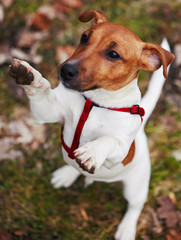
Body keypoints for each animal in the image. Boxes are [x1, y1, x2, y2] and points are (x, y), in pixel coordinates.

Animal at [9, 9, 175, 240]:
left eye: (113, 54)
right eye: (84, 37)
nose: (65, 70)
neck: (95, 102)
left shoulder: (121, 149)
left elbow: (107, 140)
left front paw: (92, 152)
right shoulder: (47, 111)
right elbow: (42, 92)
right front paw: (29, 77)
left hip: (136, 187)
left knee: (135, 206)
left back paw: (127, 228)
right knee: (77, 168)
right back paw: (67, 173)